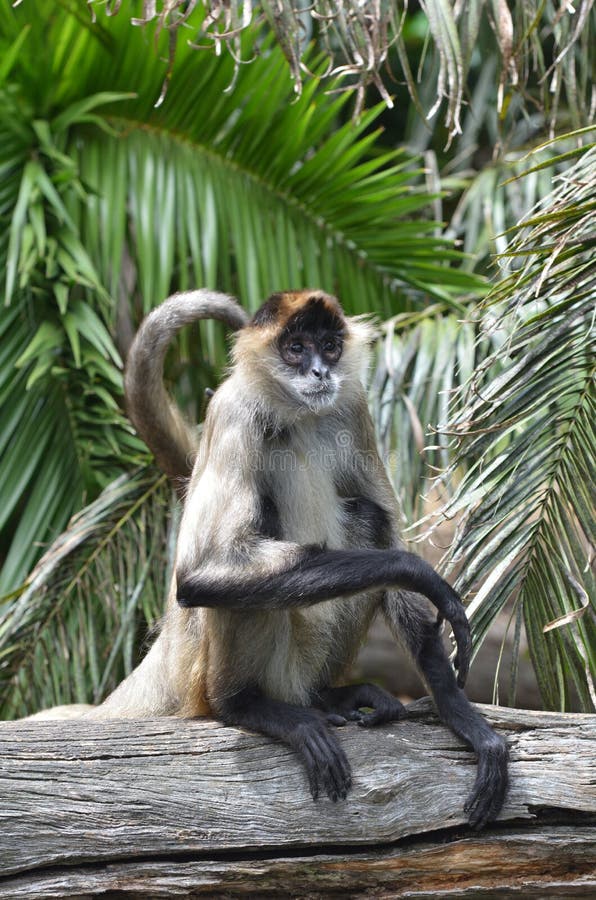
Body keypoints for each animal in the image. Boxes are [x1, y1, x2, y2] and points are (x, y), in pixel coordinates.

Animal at [94, 290, 508, 828]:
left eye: (330, 346)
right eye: (295, 349)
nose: (319, 372)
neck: (301, 414)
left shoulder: (353, 406)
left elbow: (389, 535)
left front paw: (462, 715)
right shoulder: (233, 409)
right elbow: (199, 575)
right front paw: (421, 575)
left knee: (369, 518)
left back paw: (326, 696)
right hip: (208, 672)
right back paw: (245, 706)